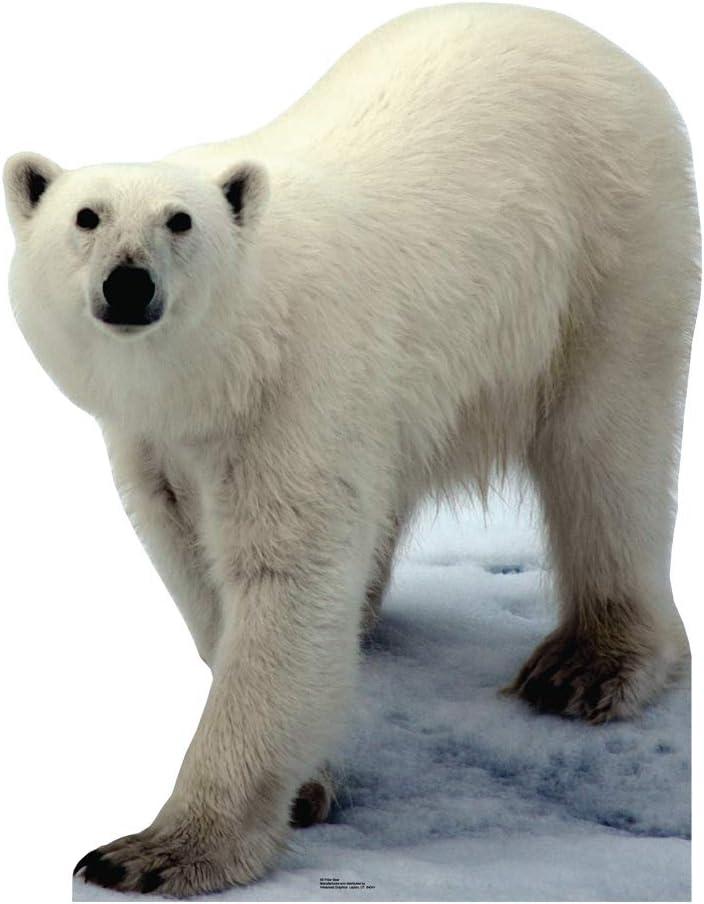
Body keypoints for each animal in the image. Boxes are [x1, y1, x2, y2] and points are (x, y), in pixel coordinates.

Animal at [4, 3, 699, 897]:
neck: (227, 368)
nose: (130, 284)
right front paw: (304, 779)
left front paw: (153, 852)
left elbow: (286, 580)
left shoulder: (299, 388)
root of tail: (596, 43)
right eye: (85, 217)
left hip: (612, 250)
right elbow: (197, 562)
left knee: (606, 452)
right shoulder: (156, 441)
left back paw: (586, 665)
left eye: (179, 221)